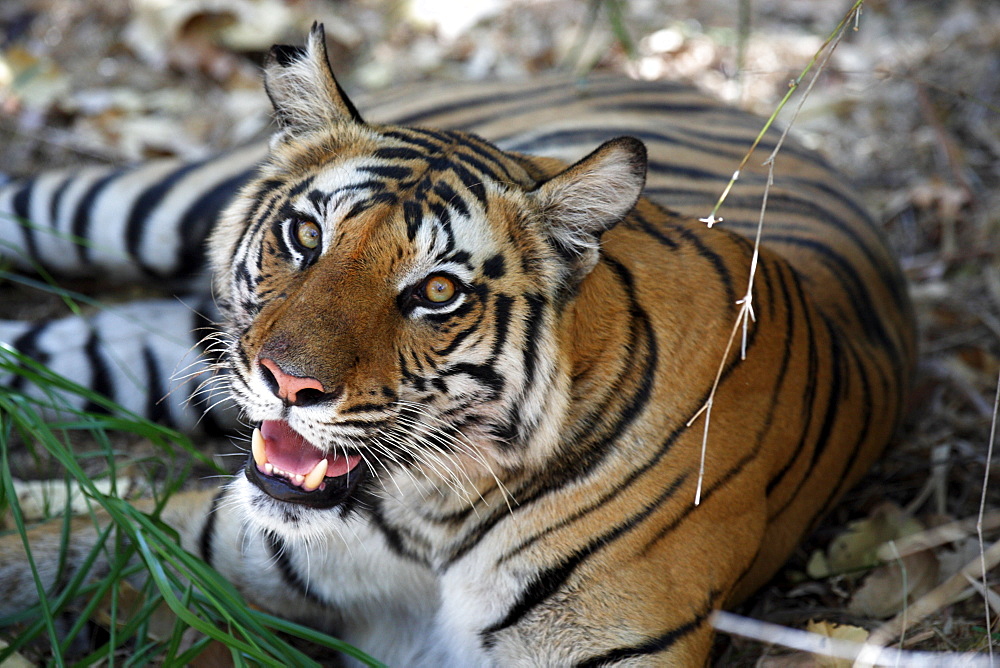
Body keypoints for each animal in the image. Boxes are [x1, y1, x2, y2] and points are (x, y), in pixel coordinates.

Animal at [0, 23, 916, 664]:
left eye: (437, 291)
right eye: (306, 235)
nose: (285, 382)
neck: (430, 521)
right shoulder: (181, 537)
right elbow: (36, 554)